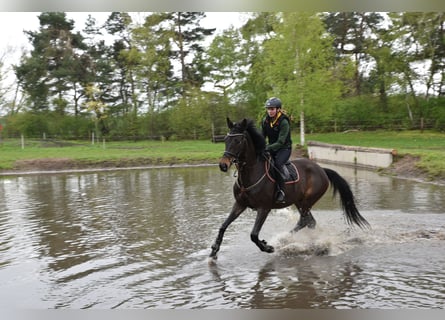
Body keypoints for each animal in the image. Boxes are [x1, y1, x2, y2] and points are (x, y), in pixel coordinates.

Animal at [210, 117, 370, 260]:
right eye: (226, 140)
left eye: (237, 141)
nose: (223, 165)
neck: (251, 173)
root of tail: (322, 170)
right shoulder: (240, 204)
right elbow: (223, 226)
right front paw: (214, 250)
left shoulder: (264, 208)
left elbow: (253, 235)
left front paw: (267, 247)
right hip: (299, 201)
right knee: (309, 222)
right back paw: (291, 240)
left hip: (307, 201)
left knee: (304, 221)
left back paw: (285, 240)